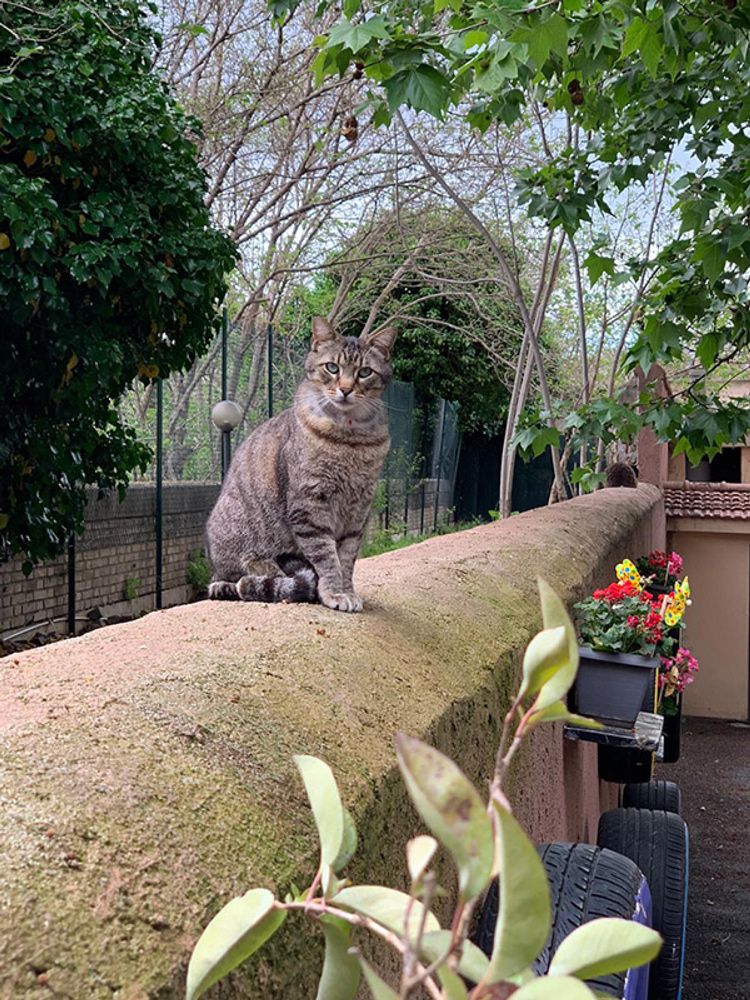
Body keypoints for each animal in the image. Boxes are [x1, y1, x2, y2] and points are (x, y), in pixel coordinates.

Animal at [203, 316, 396, 612]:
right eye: (332, 367)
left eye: (365, 372)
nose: (346, 389)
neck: (350, 439)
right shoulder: (309, 504)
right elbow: (326, 557)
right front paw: (334, 593)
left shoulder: (358, 511)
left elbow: (346, 558)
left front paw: (347, 591)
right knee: (231, 576)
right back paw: (240, 581)